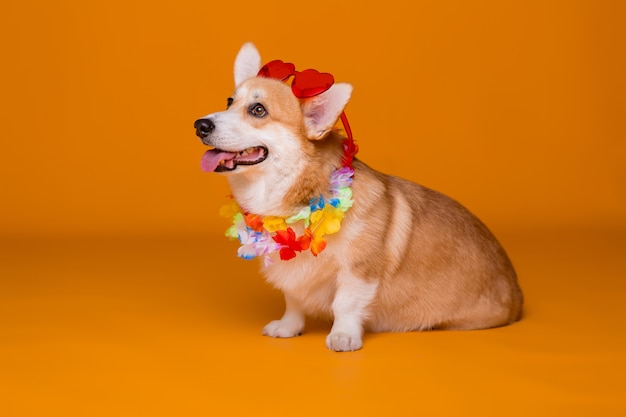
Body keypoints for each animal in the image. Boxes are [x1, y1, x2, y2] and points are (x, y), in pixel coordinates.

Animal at [194, 44, 520, 352]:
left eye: (258, 110)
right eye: (229, 102)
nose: (200, 125)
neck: (302, 197)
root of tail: (517, 293)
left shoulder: (359, 271)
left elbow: (345, 305)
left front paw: (343, 337)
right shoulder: (294, 275)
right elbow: (294, 301)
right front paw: (288, 328)